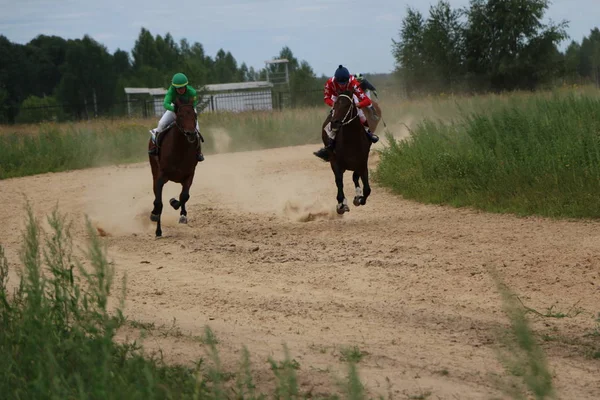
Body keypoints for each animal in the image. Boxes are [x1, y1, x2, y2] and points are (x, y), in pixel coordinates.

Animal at [148, 97, 202, 238]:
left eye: (195, 115)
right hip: (154, 171)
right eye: (180, 116)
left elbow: (184, 196)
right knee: (155, 195)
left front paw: (177, 207)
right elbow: (158, 203)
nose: (191, 134)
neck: (179, 150)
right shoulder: (161, 177)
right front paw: (158, 229)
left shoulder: (189, 174)